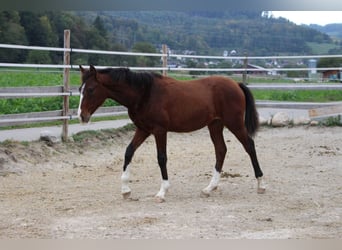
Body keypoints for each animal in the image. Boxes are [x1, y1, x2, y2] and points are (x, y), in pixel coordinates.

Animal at [79, 65, 266, 202]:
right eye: (80, 89)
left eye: (91, 89)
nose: (82, 116)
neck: (145, 93)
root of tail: (236, 84)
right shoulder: (143, 130)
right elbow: (128, 152)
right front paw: (126, 190)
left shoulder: (159, 130)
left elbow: (161, 158)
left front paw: (162, 192)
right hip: (215, 125)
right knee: (221, 150)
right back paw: (209, 188)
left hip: (234, 124)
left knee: (249, 145)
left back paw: (261, 185)